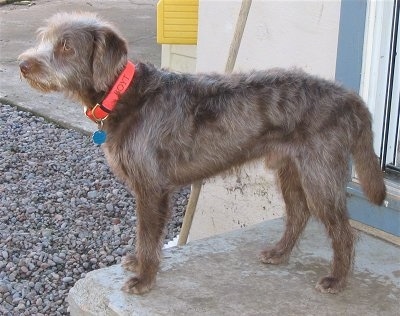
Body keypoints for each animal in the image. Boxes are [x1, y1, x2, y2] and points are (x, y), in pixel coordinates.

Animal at [17, 11, 386, 294]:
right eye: (45, 38)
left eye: (66, 45)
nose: (22, 64)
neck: (125, 95)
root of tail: (349, 98)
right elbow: (145, 235)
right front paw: (139, 263)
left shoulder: (151, 188)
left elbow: (148, 235)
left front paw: (145, 278)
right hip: (290, 170)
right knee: (298, 214)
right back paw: (280, 253)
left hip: (320, 175)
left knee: (343, 231)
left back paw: (337, 280)